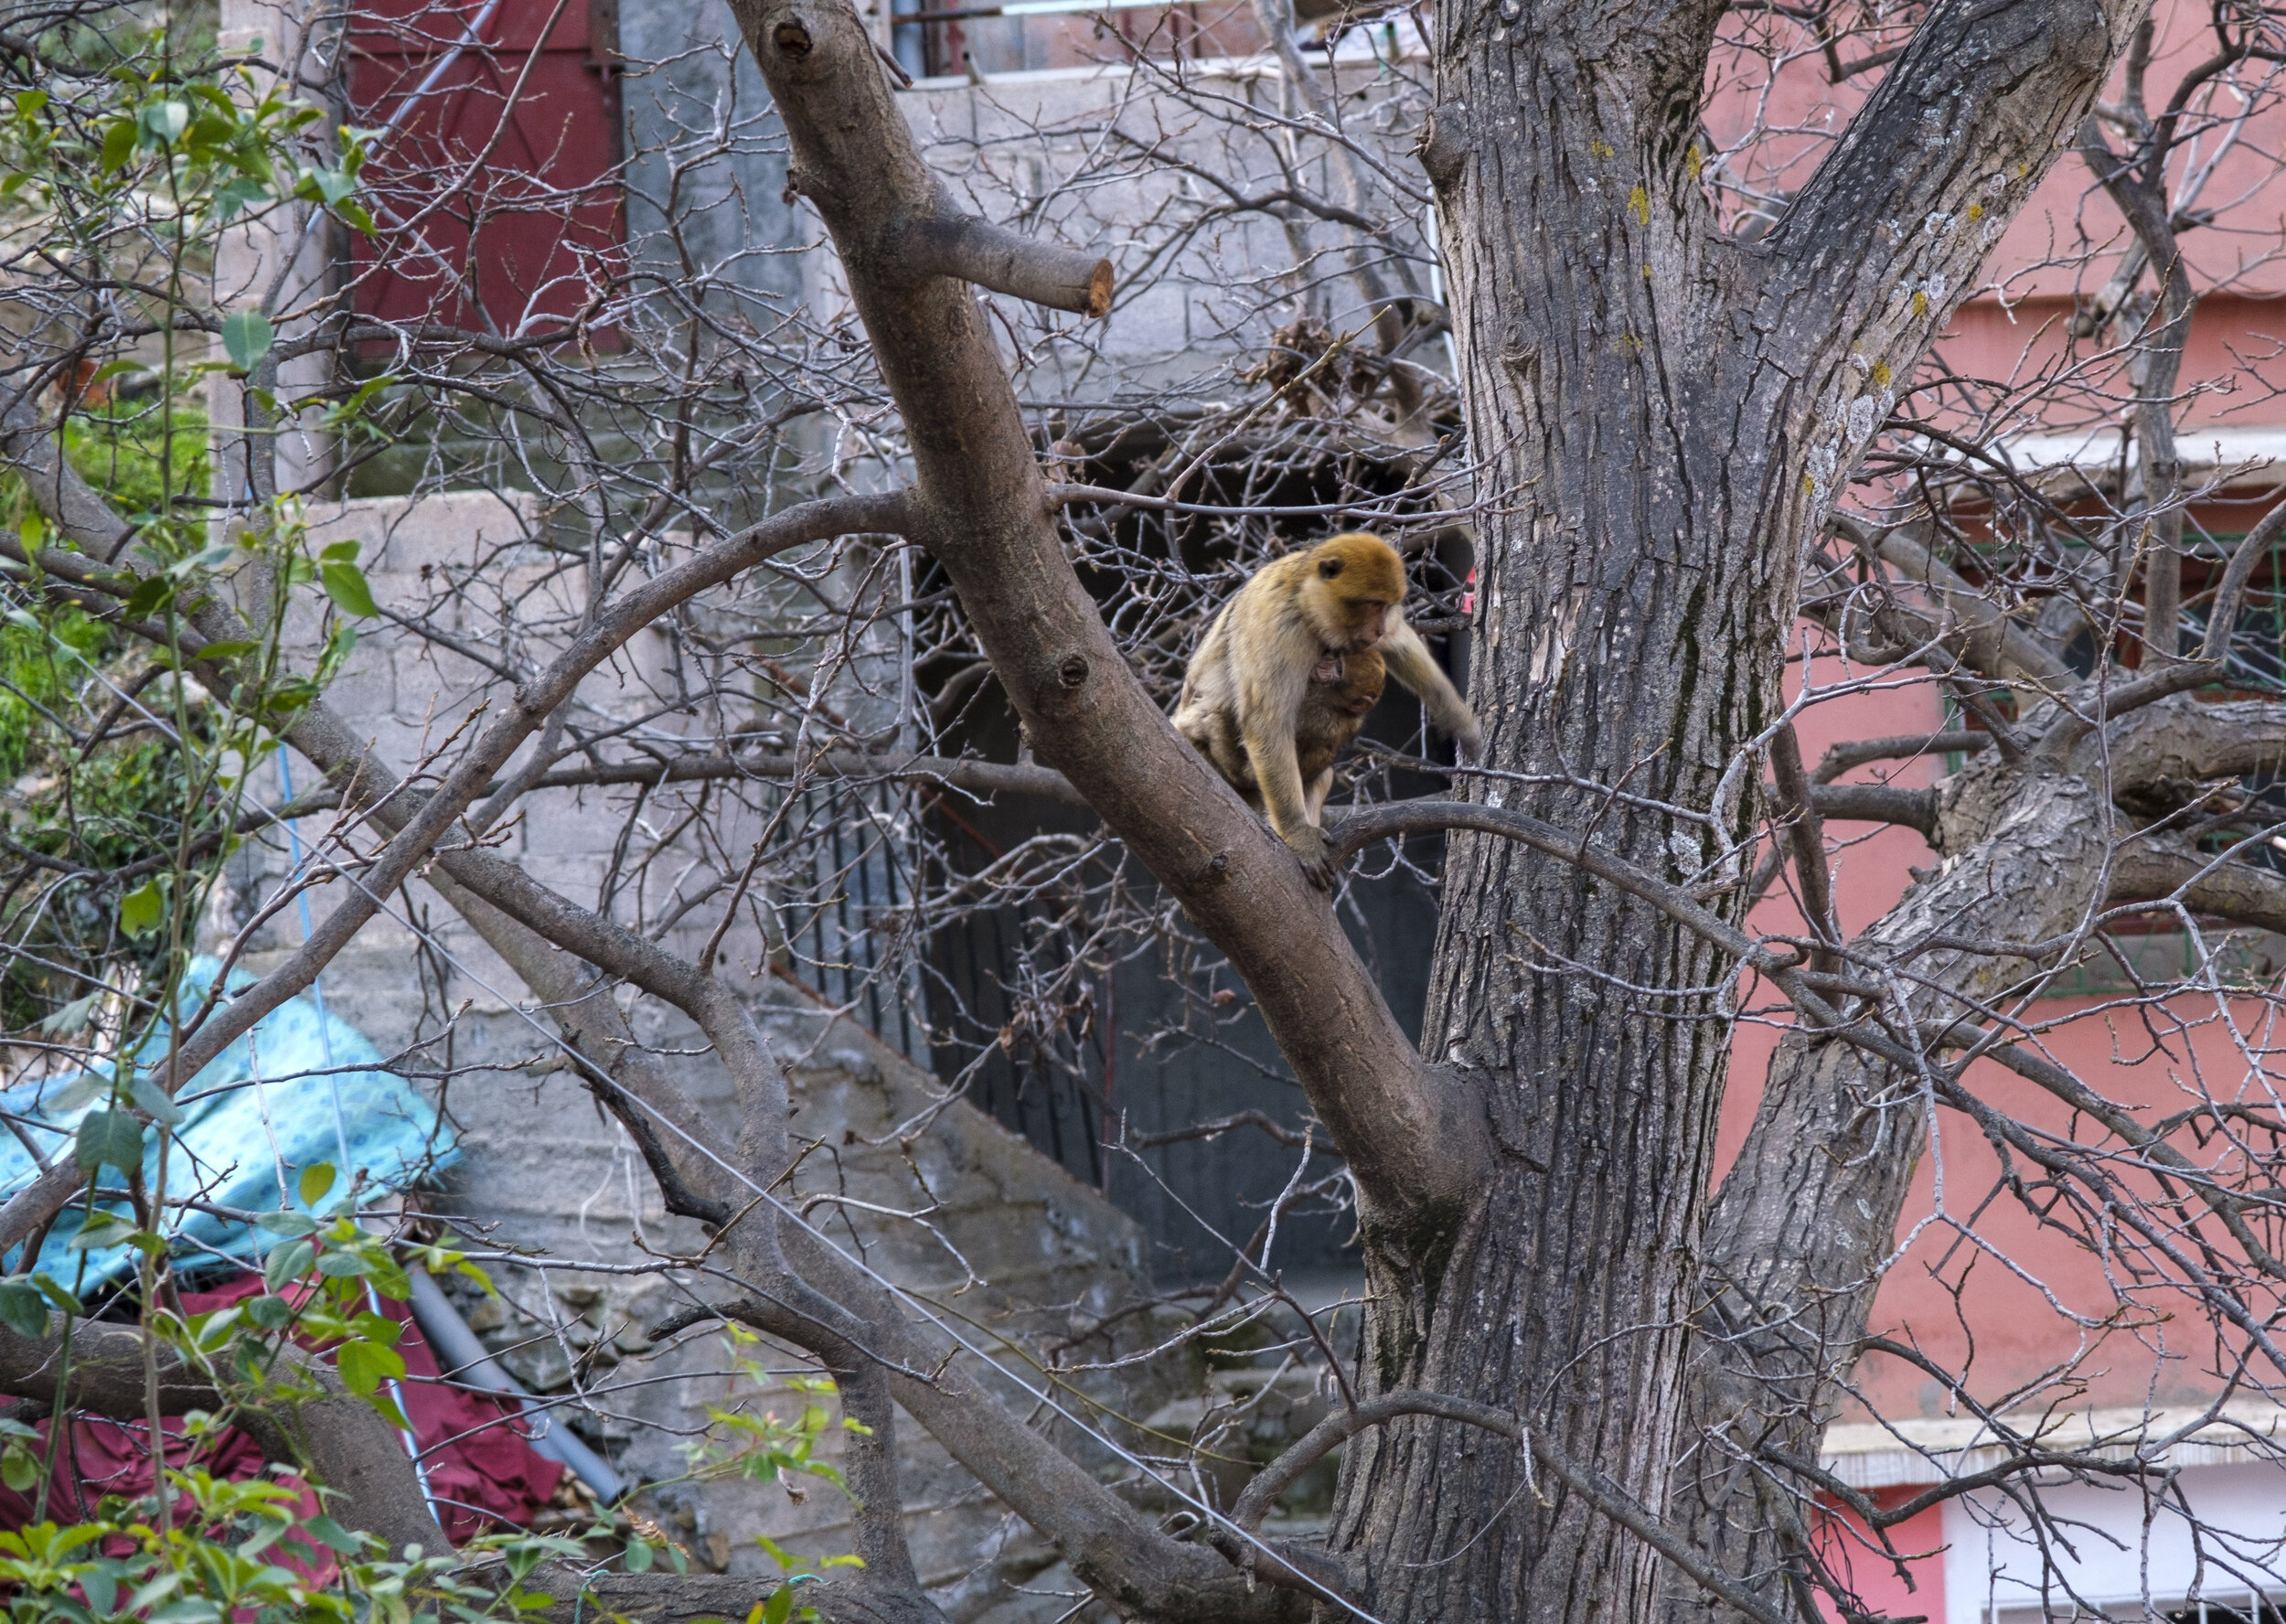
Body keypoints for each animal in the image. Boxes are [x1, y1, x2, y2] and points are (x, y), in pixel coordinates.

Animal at [1173, 532, 1481, 887]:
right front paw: (1298, 834)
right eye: (1373, 604)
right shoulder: (1280, 630)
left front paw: (1459, 721)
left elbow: (1398, 643)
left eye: (1387, 606)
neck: (1305, 598)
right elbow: (1267, 723)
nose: (1378, 628)